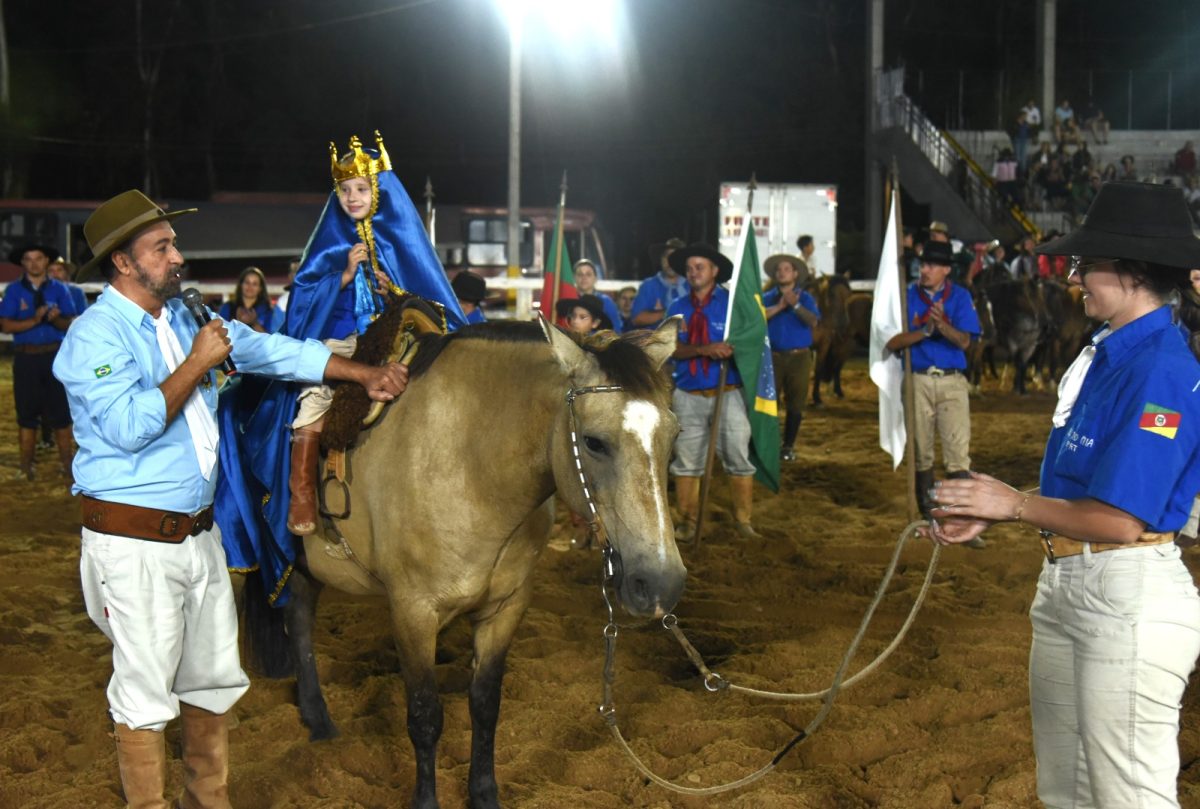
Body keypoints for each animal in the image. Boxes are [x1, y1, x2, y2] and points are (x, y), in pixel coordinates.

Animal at [241, 319, 686, 806]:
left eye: (674, 437)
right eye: (593, 442)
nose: (661, 582)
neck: (471, 467)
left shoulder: (505, 607)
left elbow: (485, 704)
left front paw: (484, 793)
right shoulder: (413, 612)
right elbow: (424, 715)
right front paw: (426, 799)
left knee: (300, 614)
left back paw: (316, 715)